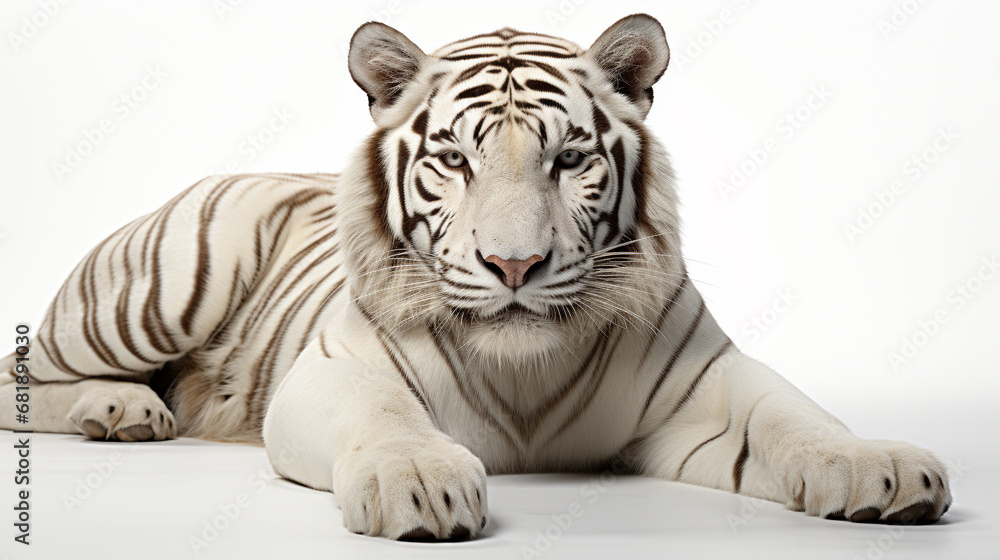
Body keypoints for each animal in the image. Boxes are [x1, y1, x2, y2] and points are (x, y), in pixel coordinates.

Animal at [0, 14, 951, 540]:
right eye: (455, 159)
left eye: (570, 158)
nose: (514, 263)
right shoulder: (331, 375)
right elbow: (384, 417)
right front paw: (417, 482)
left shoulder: (707, 387)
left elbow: (797, 416)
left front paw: (880, 468)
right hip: (160, 290)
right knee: (23, 372)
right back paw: (119, 408)